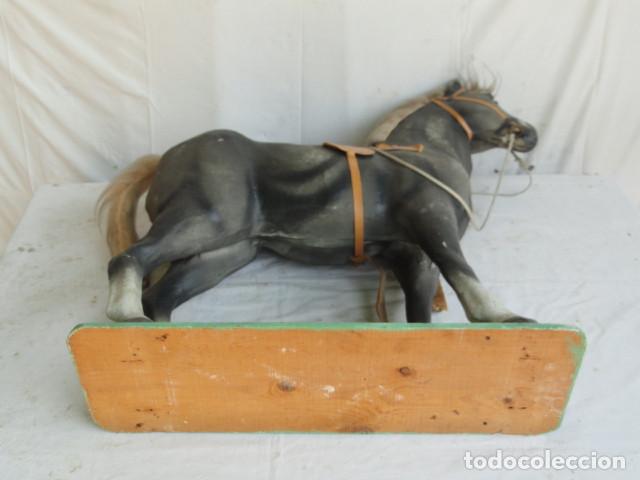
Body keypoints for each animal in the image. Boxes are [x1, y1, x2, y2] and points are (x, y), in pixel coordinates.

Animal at [98, 79, 538, 324]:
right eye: (490, 97)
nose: (530, 132)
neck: (425, 151)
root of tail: (164, 160)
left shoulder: (413, 258)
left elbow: (420, 315)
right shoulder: (433, 222)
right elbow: (461, 270)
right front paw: (505, 317)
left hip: (221, 253)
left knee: (158, 298)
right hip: (205, 223)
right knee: (128, 260)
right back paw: (125, 314)